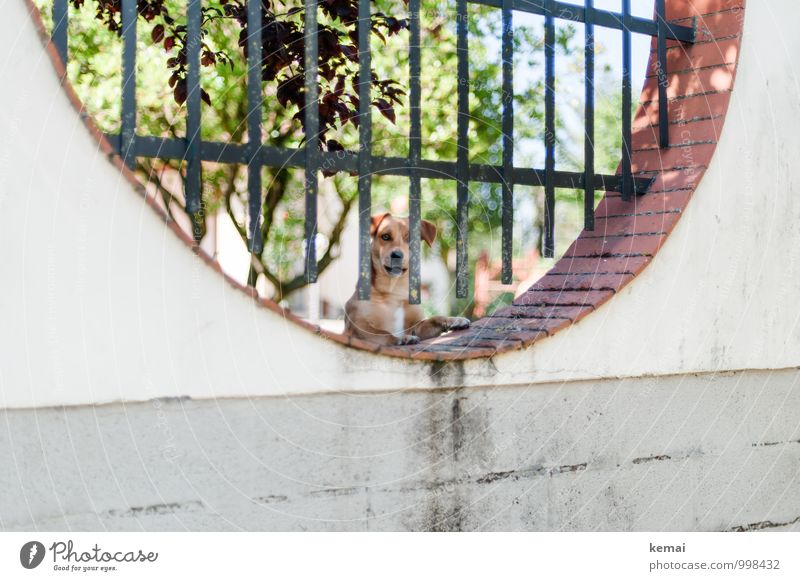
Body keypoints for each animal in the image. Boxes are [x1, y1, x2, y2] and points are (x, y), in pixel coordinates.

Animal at [342, 215, 468, 346]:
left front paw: (454, 320)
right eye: (385, 236)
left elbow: (435, 318)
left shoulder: (417, 325)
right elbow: (384, 333)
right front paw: (401, 338)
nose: (397, 255)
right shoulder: (356, 325)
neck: (394, 289)